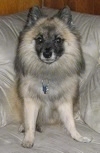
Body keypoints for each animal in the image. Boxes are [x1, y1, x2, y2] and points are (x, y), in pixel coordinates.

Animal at [14, 6, 91, 148]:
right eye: (39, 39)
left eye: (58, 40)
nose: (47, 53)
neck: (48, 75)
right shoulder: (30, 101)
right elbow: (30, 124)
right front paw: (28, 139)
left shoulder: (65, 102)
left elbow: (71, 123)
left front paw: (78, 137)